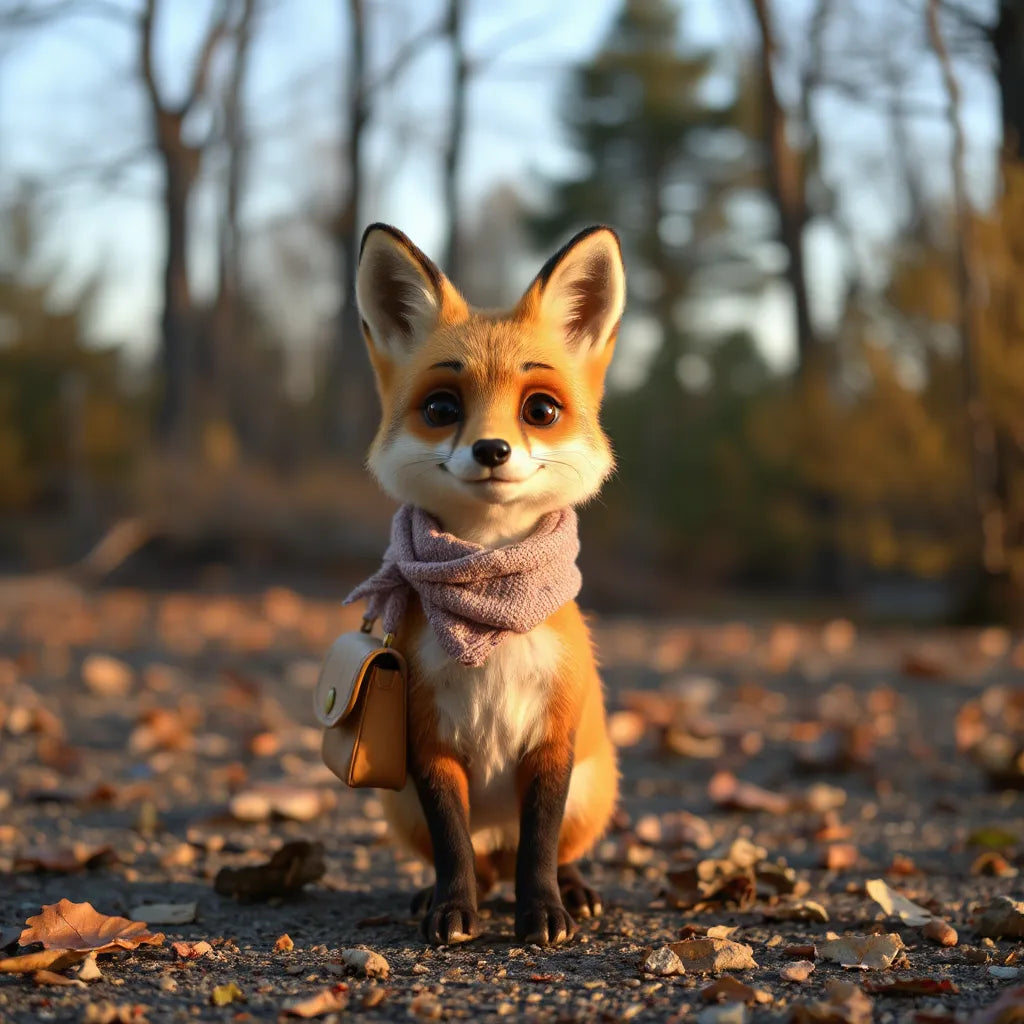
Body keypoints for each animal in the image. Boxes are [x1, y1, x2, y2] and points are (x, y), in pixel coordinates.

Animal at [352, 221, 625, 946]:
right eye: (443, 407)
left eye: (541, 409)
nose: (492, 450)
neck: (489, 600)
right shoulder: (427, 743)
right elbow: (453, 845)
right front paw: (451, 908)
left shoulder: (553, 741)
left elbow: (539, 847)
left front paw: (545, 913)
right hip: (400, 808)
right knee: (475, 858)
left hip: (593, 789)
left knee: (550, 851)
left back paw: (575, 889)